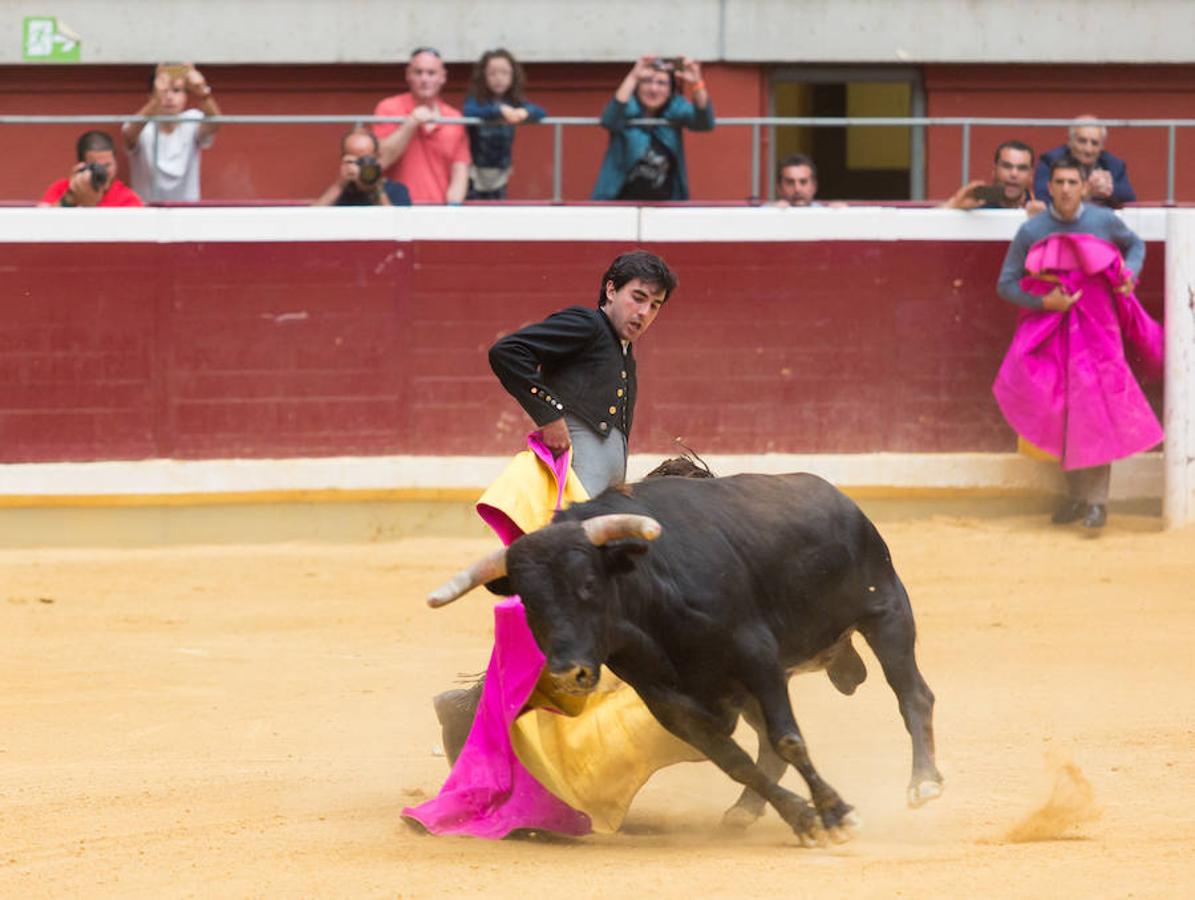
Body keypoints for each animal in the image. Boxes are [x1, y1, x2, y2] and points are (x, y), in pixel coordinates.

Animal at [430, 470, 941, 841]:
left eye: (589, 584)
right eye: (530, 603)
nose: (567, 674)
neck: (649, 602)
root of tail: (839, 498)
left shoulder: (757, 657)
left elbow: (789, 739)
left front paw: (836, 814)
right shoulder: (669, 701)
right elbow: (735, 760)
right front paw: (802, 817)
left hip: (885, 611)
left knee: (912, 695)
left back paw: (924, 783)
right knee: (763, 747)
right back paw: (744, 811)